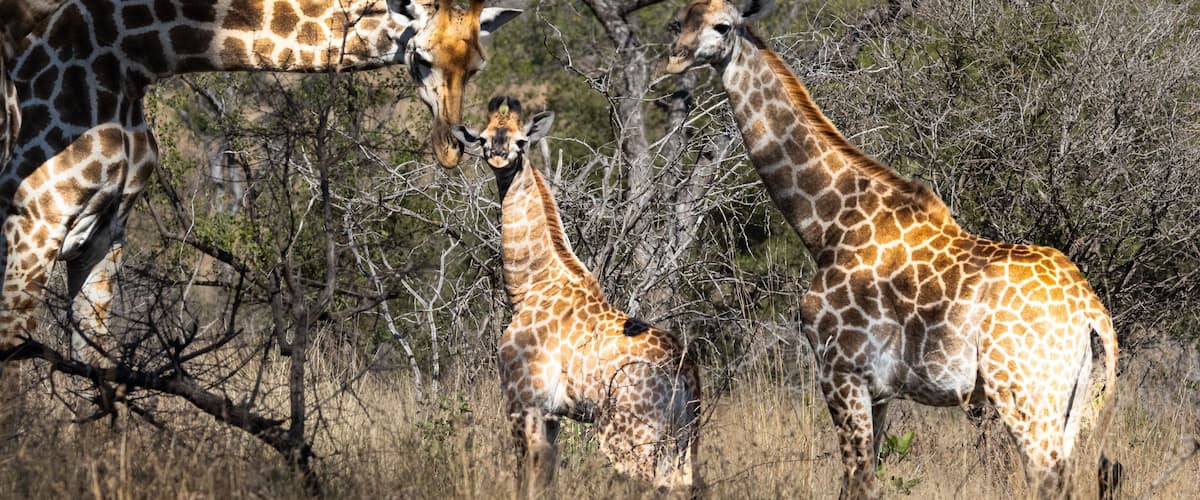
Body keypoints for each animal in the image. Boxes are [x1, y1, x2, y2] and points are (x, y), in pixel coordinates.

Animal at [0, 0, 520, 394]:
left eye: (476, 67)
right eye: (420, 58)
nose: (451, 148)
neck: (125, 56)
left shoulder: (103, 236)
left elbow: (92, 373)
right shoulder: (33, 222)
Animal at [451, 96, 702, 496]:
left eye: (521, 141)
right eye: (485, 138)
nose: (500, 157)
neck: (530, 285)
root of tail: (686, 371)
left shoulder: (522, 399)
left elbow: (526, 471)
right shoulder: (552, 414)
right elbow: (547, 474)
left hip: (630, 434)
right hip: (682, 439)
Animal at [666, 1, 1119, 497]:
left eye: (722, 26)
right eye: (678, 22)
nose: (675, 59)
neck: (828, 225)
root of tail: (1091, 315)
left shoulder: (840, 370)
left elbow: (858, 479)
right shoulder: (879, 389)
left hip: (1025, 392)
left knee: (1046, 476)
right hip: (1077, 401)